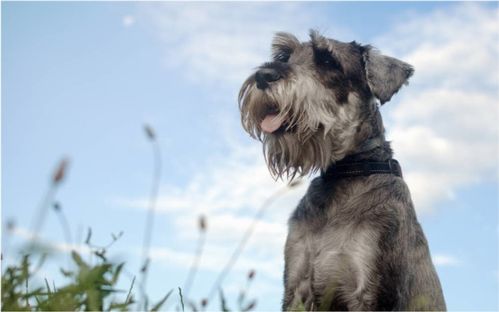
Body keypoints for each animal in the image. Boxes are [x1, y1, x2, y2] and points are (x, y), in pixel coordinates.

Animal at [240, 30, 448, 310]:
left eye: (328, 61)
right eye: (284, 56)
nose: (263, 75)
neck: (345, 173)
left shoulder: (368, 291)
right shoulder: (296, 286)